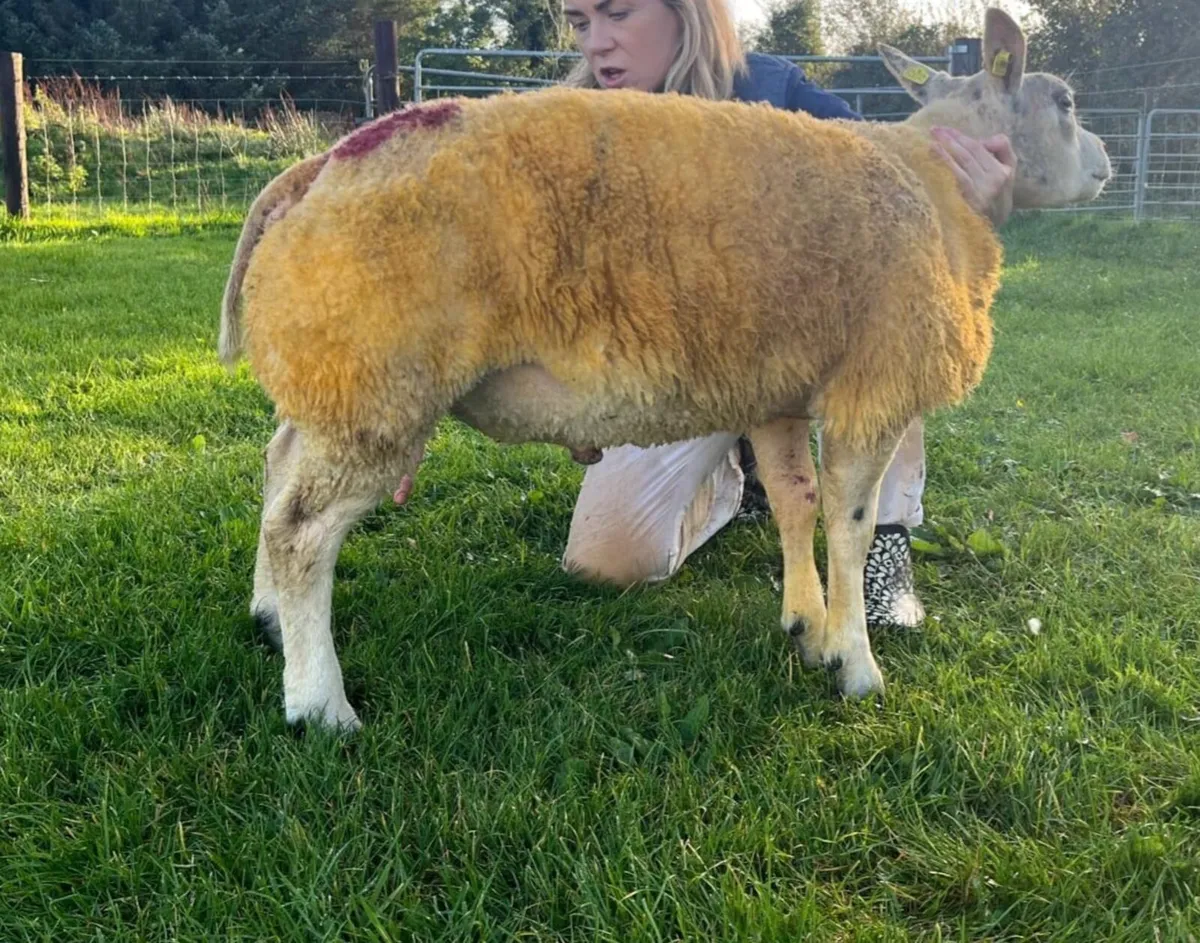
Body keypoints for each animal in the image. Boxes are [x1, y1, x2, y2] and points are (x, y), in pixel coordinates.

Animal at [218, 8, 1110, 730]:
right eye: (1065, 103)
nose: (1105, 163)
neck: (938, 184)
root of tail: (319, 167)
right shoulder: (876, 378)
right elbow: (847, 525)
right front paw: (856, 665)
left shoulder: (778, 388)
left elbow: (796, 502)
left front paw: (806, 626)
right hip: (378, 379)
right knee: (302, 531)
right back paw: (320, 703)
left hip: (333, 369)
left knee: (277, 468)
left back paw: (267, 615)